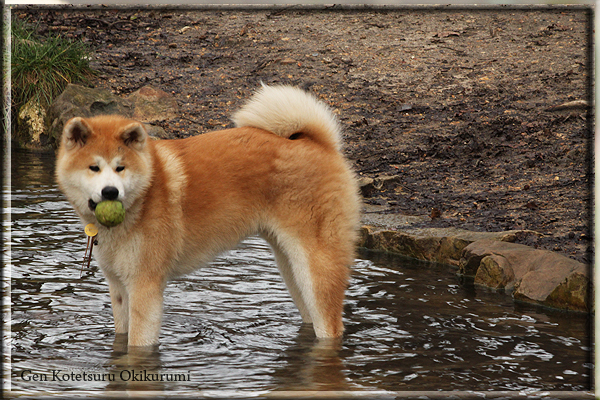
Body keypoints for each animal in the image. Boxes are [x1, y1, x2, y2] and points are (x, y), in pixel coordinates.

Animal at [57, 84, 360, 346]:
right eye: (94, 167)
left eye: (121, 168)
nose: (110, 192)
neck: (142, 198)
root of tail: (318, 143)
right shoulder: (118, 285)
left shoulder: (145, 285)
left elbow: (138, 344)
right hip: (291, 268)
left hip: (316, 267)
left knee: (331, 325)